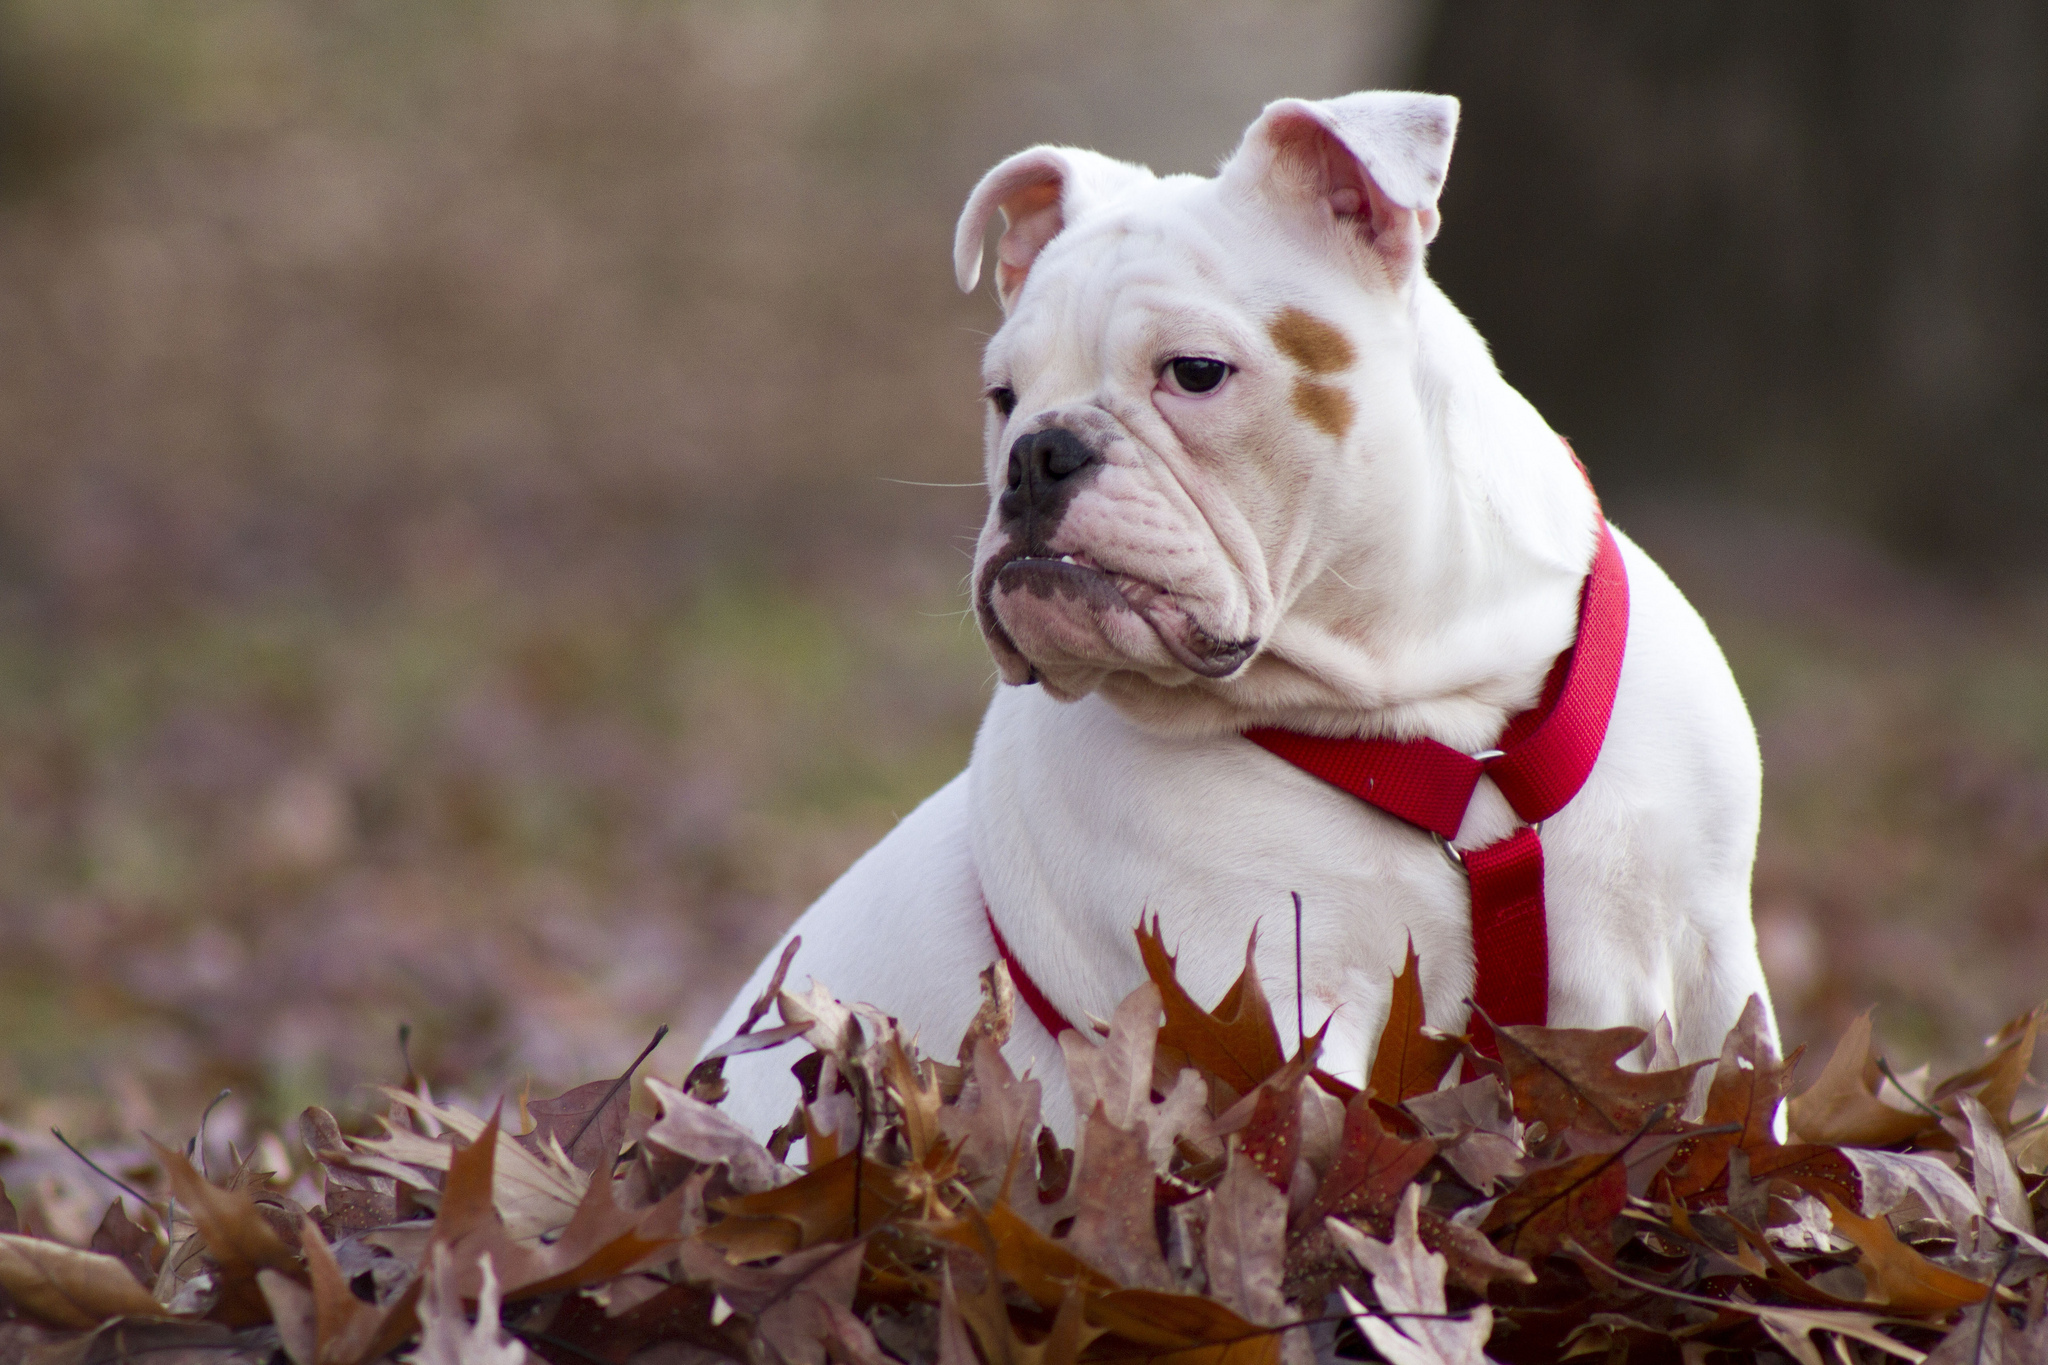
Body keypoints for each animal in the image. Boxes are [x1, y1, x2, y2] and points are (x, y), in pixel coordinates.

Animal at [696, 96, 1769, 1137]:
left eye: (1196, 372)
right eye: (1002, 395)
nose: (1037, 453)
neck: (1429, 704)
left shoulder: (1712, 960)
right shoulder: (1270, 1001)